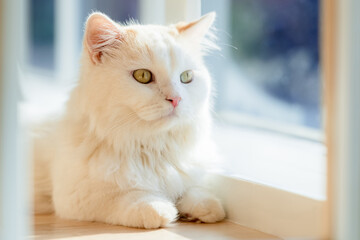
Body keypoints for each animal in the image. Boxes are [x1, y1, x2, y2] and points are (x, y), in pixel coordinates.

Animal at [33, 11, 225, 229]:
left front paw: (204, 208)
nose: (176, 99)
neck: (150, 148)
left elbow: (193, 189)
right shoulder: (75, 196)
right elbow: (130, 197)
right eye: (142, 76)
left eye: (186, 77)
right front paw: (161, 208)